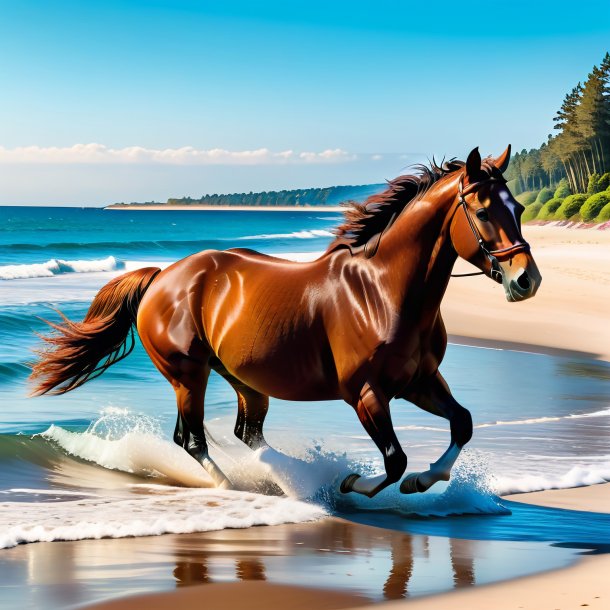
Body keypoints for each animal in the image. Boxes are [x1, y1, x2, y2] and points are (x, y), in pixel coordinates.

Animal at [30, 145, 540, 496]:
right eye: (482, 211)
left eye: (517, 208)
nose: (526, 280)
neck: (381, 292)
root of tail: (162, 277)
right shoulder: (366, 394)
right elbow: (394, 461)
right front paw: (351, 483)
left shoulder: (420, 381)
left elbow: (463, 424)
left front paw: (423, 480)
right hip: (188, 374)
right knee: (191, 439)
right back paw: (238, 486)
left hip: (243, 379)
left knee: (244, 433)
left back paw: (281, 478)